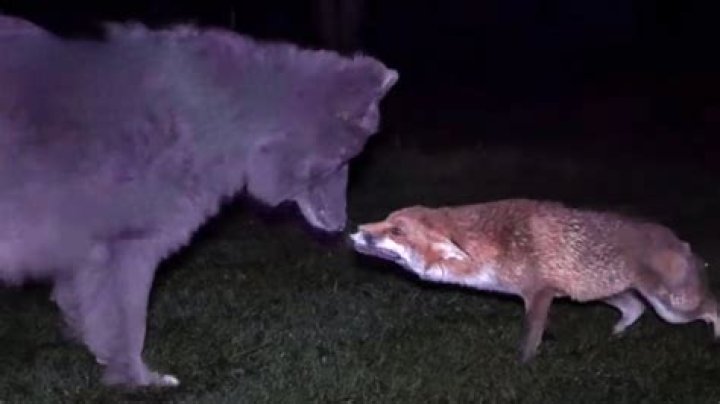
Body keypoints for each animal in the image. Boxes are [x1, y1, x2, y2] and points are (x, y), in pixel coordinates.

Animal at [350, 199, 719, 361]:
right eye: (386, 221)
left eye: (397, 231)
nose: (355, 231)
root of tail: (681, 241)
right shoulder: (550, 293)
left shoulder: (540, 294)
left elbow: (528, 342)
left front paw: (522, 367)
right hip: (599, 294)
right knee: (634, 309)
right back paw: (614, 336)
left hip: (673, 308)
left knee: (713, 305)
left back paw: (715, 338)